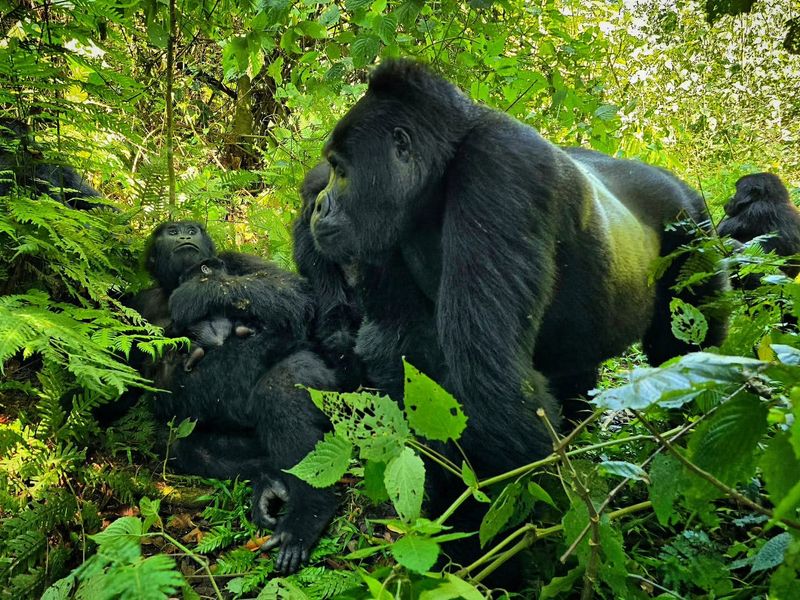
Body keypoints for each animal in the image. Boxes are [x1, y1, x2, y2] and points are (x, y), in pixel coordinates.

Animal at [131, 220, 340, 572]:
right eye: (171, 232)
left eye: (191, 229)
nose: (185, 235)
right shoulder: (139, 302)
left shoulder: (236, 259)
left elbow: (297, 295)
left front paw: (200, 294)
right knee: (185, 447)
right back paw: (269, 478)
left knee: (281, 388)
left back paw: (309, 511)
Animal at [308, 61, 732, 576]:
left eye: (340, 171)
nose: (318, 206)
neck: (441, 172)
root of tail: (679, 180)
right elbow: (409, 364)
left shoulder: (501, 168)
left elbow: (487, 384)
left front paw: (500, 551)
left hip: (693, 224)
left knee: (686, 355)